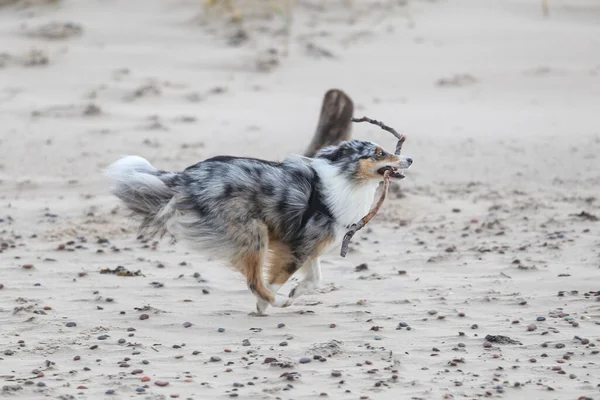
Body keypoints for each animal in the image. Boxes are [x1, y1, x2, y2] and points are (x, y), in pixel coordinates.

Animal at [106, 141, 412, 316]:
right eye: (379, 153)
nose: (409, 159)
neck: (346, 179)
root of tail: (185, 178)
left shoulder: (307, 244)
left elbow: (315, 278)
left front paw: (296, 293)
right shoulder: (296, 247)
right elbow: (277, 278)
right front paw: (270, 303)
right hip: (254, 233)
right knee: (254, 281)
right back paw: (276, 303)